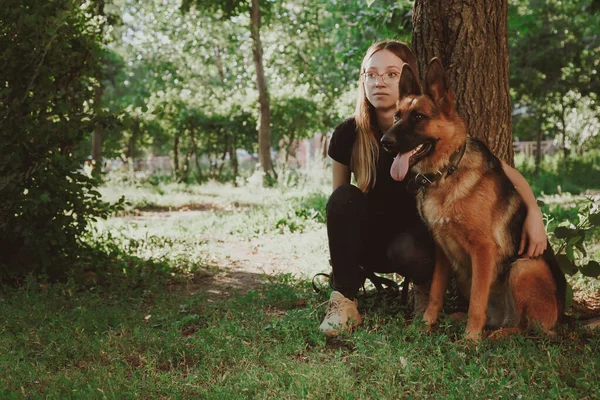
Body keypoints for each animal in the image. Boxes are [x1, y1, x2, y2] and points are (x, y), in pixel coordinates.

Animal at [382, 58, 564, 340]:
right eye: (396, 116)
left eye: (419, 117)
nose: (385, 142)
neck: (446, 172)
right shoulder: (442, 250)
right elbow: (436, 292)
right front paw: (426, 323)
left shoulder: (483, 250)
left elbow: (477, 301)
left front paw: (470, 340)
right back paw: (463, 319)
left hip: (523, 267)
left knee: (529, 328)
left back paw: (498, 334)